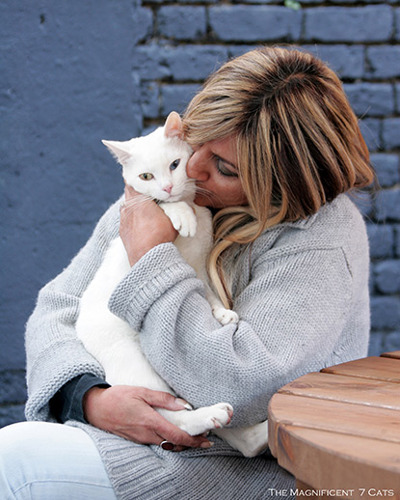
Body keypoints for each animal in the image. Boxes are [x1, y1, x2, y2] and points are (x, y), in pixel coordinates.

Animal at [75, 112, 268, 458]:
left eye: (175, 164)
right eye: (146, 176)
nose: (166, 186)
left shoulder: (198, 267)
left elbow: (206, 292)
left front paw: (221, 313)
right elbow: (159, 205)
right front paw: (179, 213)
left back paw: (253, 436)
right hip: (135, 362)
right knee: (169, 415)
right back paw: (207, 416)